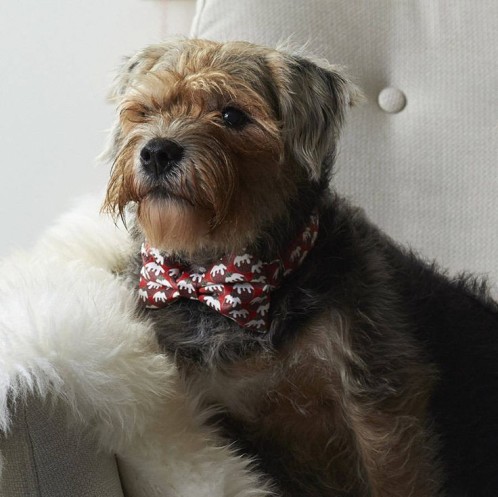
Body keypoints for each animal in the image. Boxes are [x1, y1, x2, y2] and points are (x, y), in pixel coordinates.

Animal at [103, 39, 498, 496]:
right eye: (145, 111)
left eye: (232, 115)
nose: (156, 151)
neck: (227, 275)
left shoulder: (380, 397)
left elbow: (393, 474)